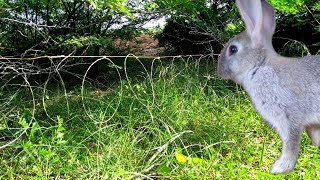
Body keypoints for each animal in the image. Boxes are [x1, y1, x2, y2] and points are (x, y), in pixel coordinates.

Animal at [219, 0, 320, 175]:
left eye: (233, 49)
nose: (219, 71)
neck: (260, 66)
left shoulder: (290, 117)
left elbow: (291, 143)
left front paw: (279, 168)